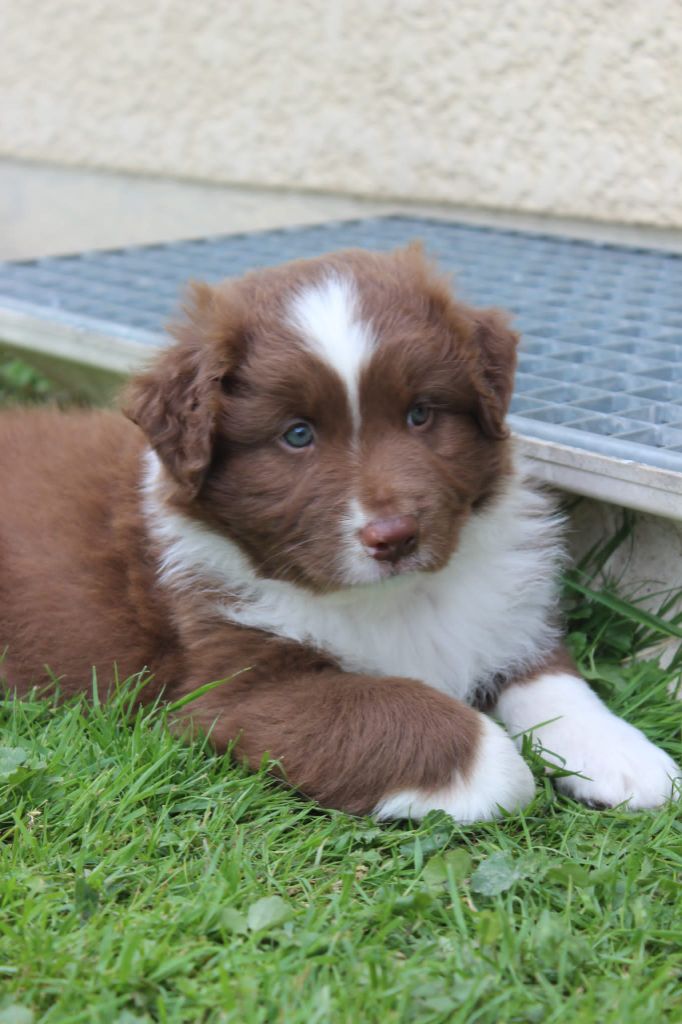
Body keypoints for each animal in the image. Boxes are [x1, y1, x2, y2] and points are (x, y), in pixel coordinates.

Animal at [1, 244, 679, 821]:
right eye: (297, 435)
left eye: (420, 414)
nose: (395, 536)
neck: (394, 600)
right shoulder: (233, 688)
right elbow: (431, 726)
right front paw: (503, 768)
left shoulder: (504, 616)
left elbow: (555, 681)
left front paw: (628, 758)